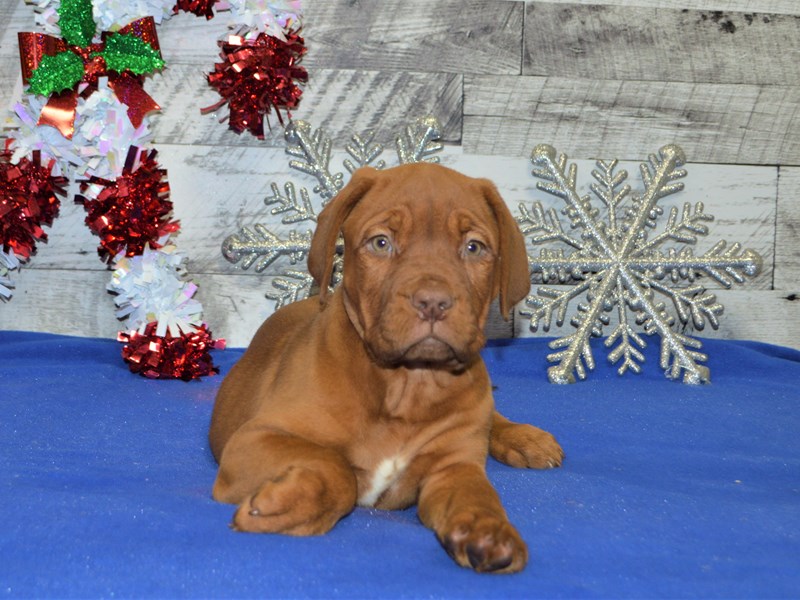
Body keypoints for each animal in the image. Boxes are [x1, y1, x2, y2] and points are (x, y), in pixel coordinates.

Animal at [209, 162, 564, 576]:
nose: (433, 302)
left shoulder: (454, 468)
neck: (408, 384)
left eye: (473, 247)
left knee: (493, 416)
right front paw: (287, 505)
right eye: (381, 243)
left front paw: (489, 530)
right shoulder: (254, 438)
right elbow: (334, 464)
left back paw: (525, 438)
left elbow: (479, 494)